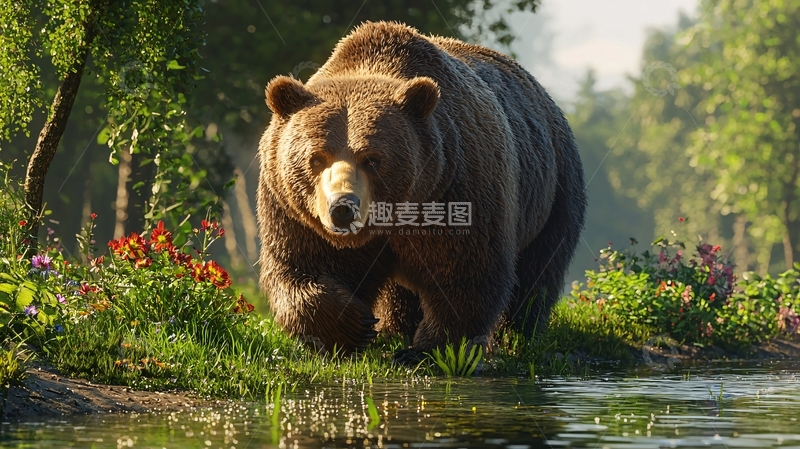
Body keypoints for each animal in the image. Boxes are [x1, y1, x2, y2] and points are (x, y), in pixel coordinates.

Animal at [256, 21, 586, 363]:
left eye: (372, 158)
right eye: (317, 157)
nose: (342, 208)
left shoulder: (456, 187)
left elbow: (466, 273)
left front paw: (426, 349)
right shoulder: (294, 210)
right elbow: (303, 266)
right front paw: (352, 326)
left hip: (553, 186)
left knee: (538, 272)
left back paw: (517, 336)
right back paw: (394, 328)